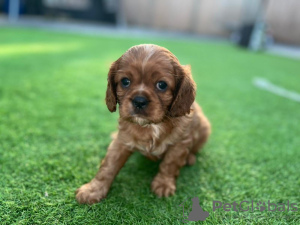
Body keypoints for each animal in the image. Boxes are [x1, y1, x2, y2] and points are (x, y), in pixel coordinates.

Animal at [75, 44, 211, 204]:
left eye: (162, 85)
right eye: (125, 81)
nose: (139, 101)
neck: (151, 126)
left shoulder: (180, 143)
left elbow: (170, 164)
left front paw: (163, 184)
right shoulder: (122, 141)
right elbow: (108, 166)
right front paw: (92, 190)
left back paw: (190, 158)